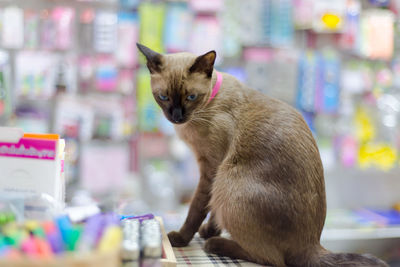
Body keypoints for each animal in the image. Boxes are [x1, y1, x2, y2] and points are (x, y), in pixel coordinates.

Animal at [138, 43, 388, 266]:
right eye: (163, 97)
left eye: (191, 97)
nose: (176, 117)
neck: (206, 107)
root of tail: (312, 244)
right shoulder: (211, 174)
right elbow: (213, 213)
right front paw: (208, 231)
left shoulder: (211, 169)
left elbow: (197, 209)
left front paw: (181, 238)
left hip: (228, 180)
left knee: (273, 260)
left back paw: (215, 244)